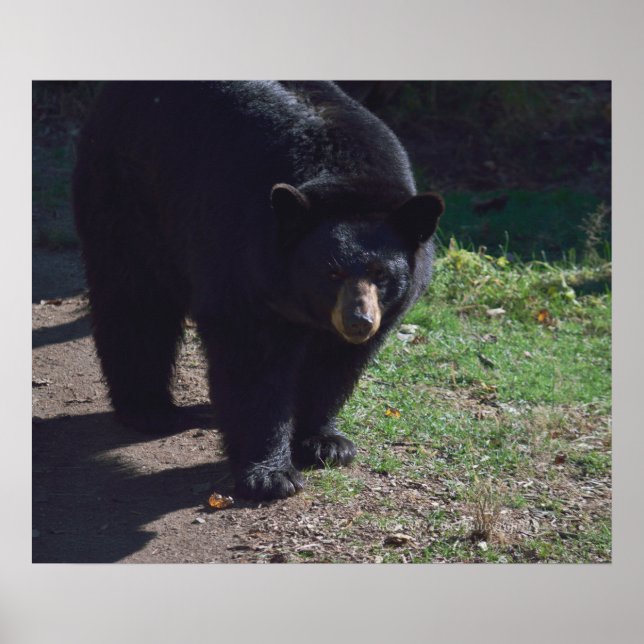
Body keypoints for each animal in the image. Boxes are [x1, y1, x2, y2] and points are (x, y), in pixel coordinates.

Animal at [73, 81, 444, 501]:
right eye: (331, 271)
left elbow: (333, 365)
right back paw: (150, 409)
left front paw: (325, 442)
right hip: (129, 194)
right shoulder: (242, 255)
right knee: (136, 301)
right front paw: (270, 474)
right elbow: (252, 362)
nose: (358, 321)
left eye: (381, 274)